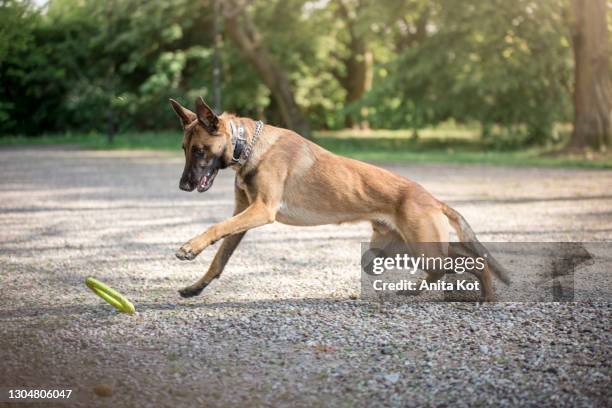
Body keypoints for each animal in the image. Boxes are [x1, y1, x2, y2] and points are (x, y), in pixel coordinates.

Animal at [170, 95, 510, 300]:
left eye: (199, 151)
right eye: (184, 150)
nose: (183, 187)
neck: (249, 146)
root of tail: (431, 198)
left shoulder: (261, 211)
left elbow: (214, 228)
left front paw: (189, 247)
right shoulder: (243, 216)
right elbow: (219, 259)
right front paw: (196, 286)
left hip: (422, 246)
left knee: (466, 261)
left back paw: (485, 297)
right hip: (402, 247)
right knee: (451, 263)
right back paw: (418, 292)